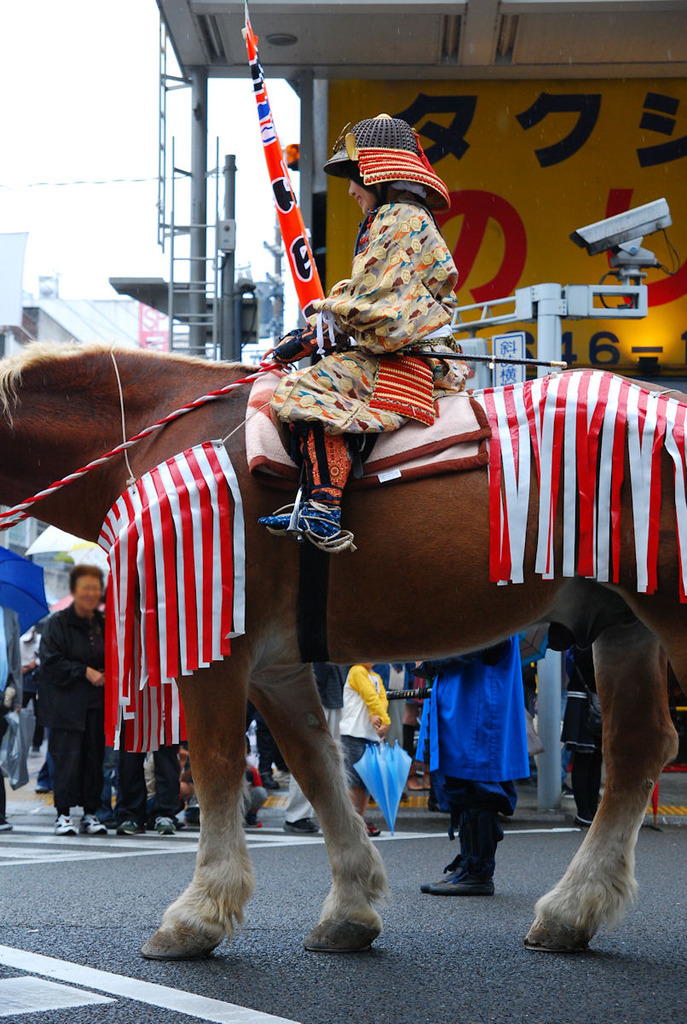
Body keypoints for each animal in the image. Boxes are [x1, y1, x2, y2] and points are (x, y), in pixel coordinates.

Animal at [0, 339, 675, 954]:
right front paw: (350, 908)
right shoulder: (274, 665)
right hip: (622, 624)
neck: (149, 438)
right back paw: (573, 911)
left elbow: (218, 765)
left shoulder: (217, 647)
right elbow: (317, 767)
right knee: (638, 749)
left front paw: (198, 913)